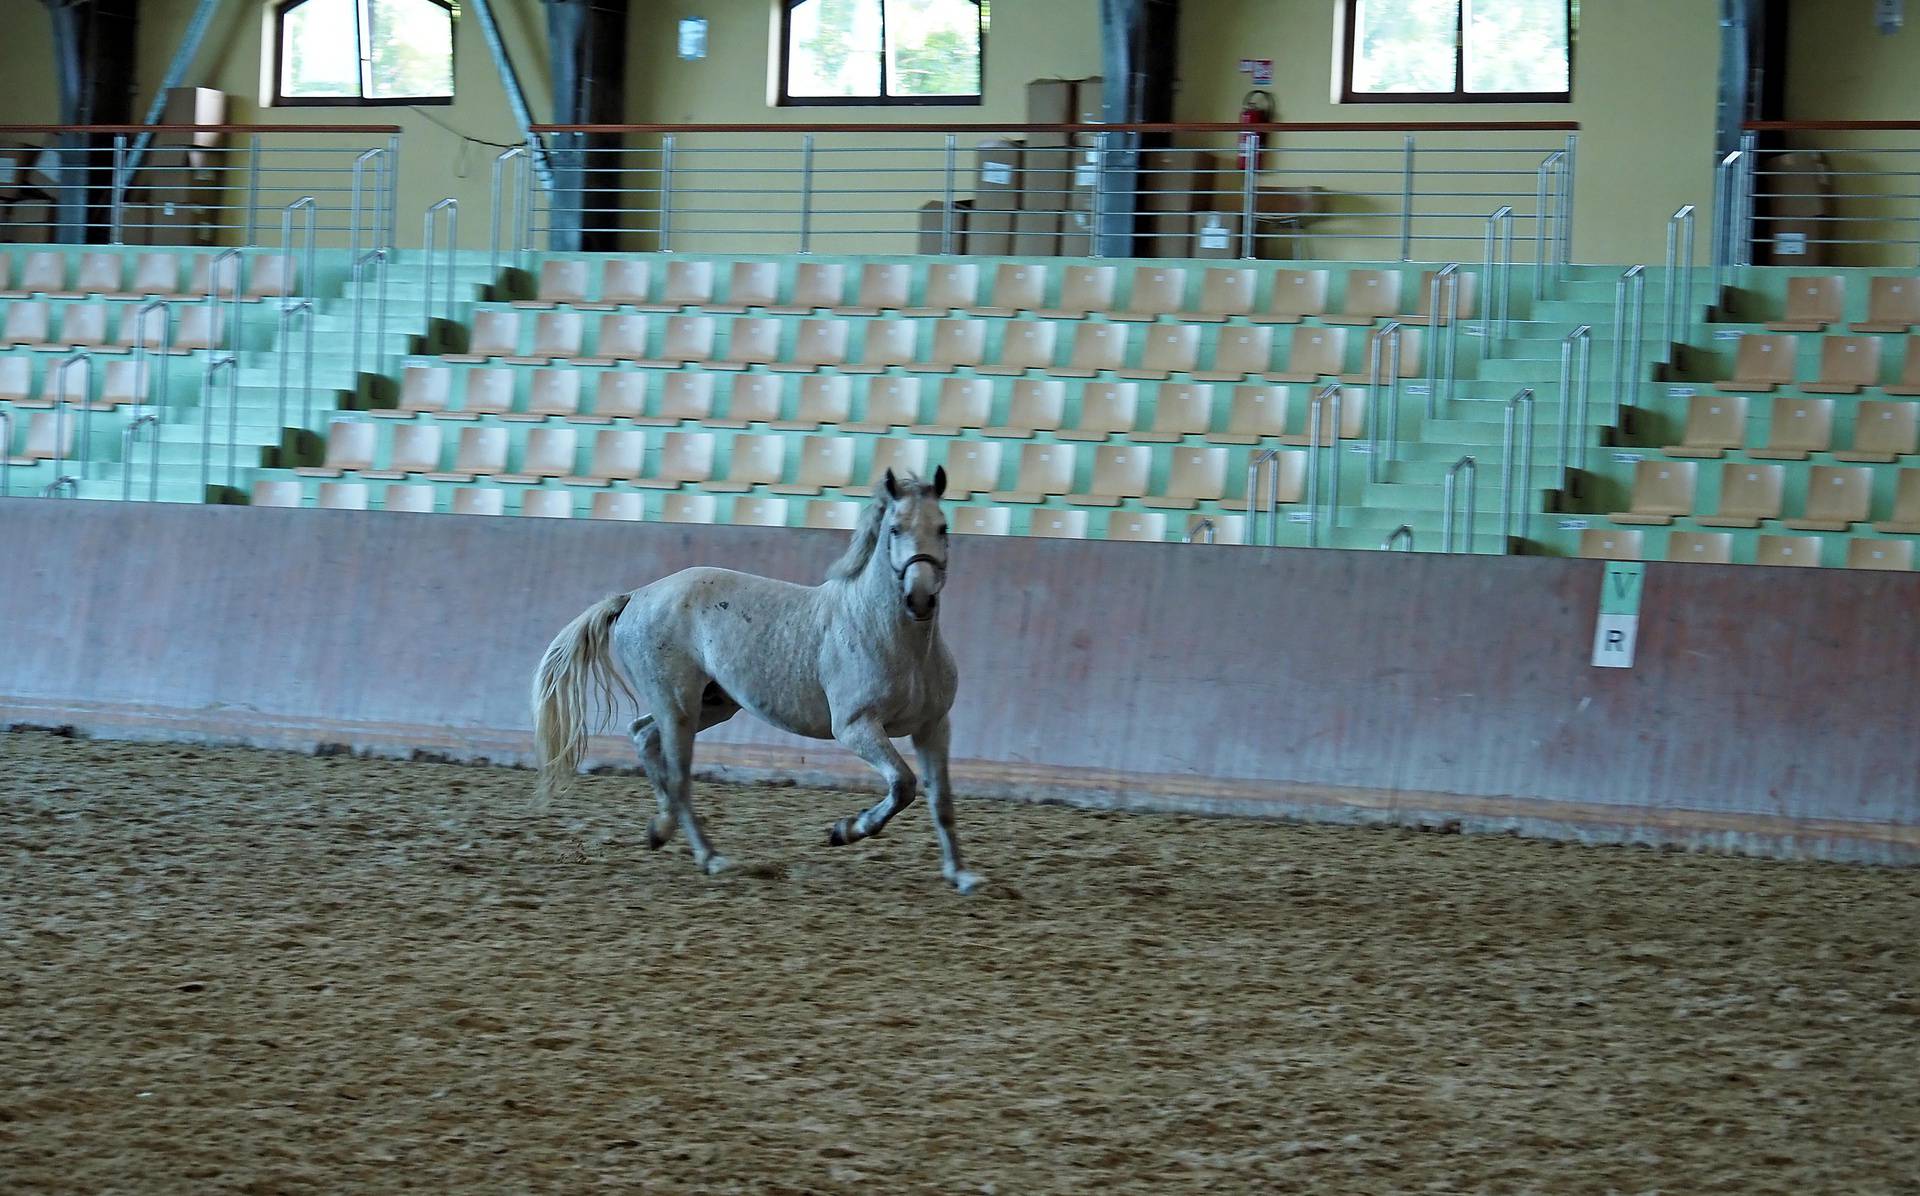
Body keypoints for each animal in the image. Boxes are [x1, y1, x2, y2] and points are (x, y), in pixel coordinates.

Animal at [529, 468, 983, 890]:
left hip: (709, 705)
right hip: (678, 706)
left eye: (943, 527)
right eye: (895, 529)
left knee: (643, 735)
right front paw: (846, 830)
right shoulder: (856, 727)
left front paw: (960, 875)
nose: (920, 599)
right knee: (677, 774)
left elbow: (941, 799)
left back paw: (661, 830)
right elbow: (904, 784)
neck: (895, 639)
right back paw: (709, 857)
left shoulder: (933, 726)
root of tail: (635, 596)